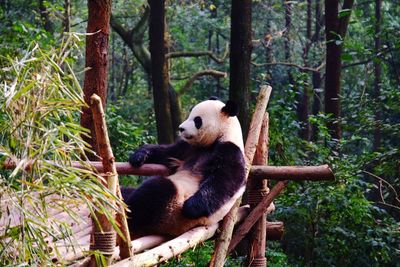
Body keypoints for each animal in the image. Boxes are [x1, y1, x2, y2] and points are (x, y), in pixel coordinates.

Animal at [123, 98, 245, 239]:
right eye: (190, 115)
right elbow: (165, 153)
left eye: (197, 120)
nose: (181, 128)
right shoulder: (187, 148)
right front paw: (138, 156)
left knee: (157, 189)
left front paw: (191, 206)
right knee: (127, 191)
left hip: (170, 212)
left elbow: (223, 181)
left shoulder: (230, 151)